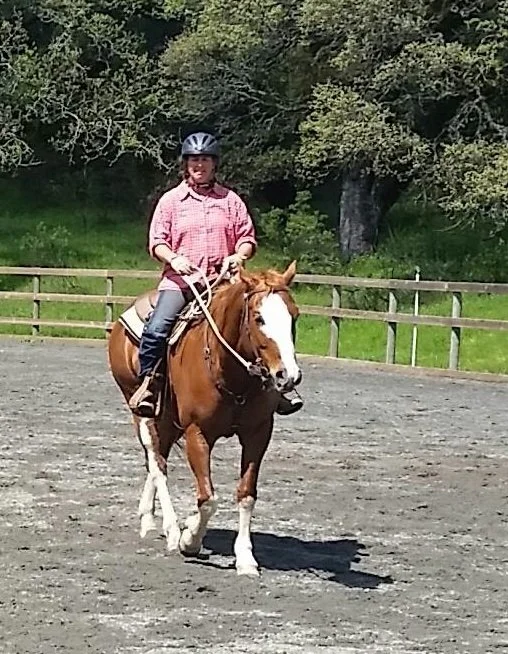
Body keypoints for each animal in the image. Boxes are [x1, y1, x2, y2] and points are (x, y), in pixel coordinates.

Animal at [107, 261, 301, 576]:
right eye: (258, 318)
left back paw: (148, 519)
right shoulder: (197, 433)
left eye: (294, 316)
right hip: (142, 413)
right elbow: (207, 498)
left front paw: (245, 558)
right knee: (157, 465)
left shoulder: (258, 432)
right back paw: (171, 530)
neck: (230, 373)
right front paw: (190, 539)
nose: (288, 376)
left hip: (168, 420)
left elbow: (246, 494)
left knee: (157, 460)